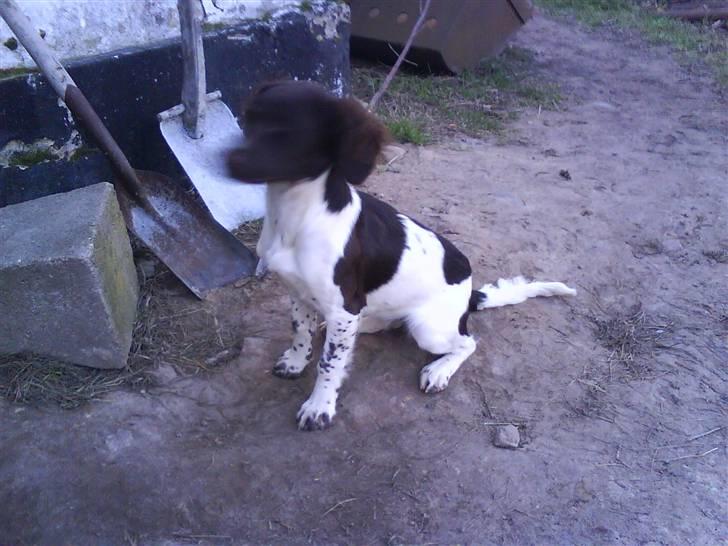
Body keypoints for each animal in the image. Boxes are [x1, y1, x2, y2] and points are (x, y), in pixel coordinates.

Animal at [228, 81, 576, 430]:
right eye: (248, 119)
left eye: (290, 133)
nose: (228, 160)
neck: (298, 215)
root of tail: (468, 295)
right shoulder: (299, 292)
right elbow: (300, 331)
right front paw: (296, 362)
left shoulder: (344, 306)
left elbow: (329, 364)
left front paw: (319, 407)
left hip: (429, 329)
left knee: (468, 342)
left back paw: (438, 370)